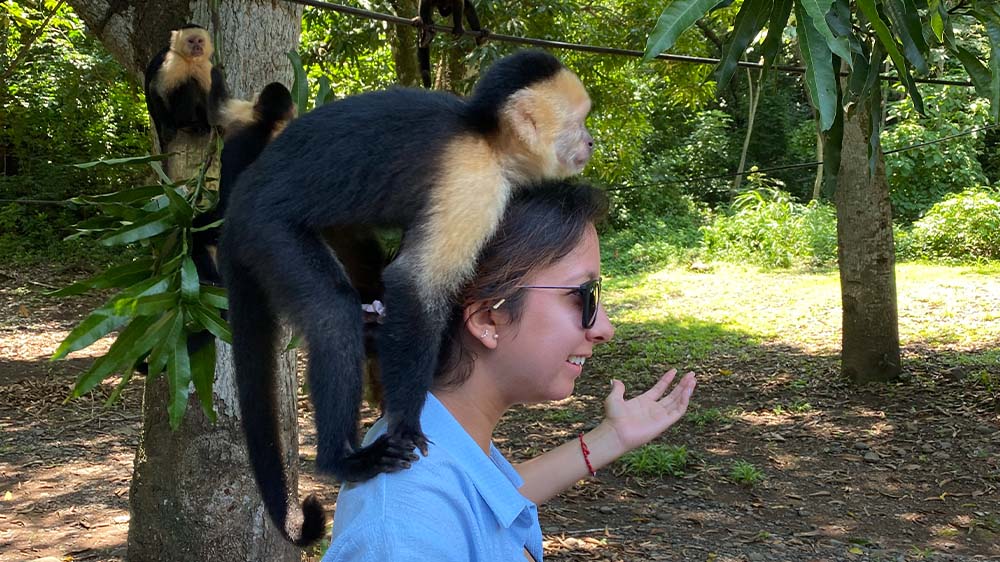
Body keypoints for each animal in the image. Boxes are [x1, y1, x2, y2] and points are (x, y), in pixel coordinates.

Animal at [142, 24, 228, 153]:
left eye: (200, 41)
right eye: (190, 41)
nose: (197, 47)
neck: (189, 61)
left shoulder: (204, 64)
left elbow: (210, 93)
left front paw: (217, 124)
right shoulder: (173, 60)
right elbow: (156, 88)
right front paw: (168, 127)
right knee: (190, 85)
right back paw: (185, 124)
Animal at [219, 50, 592, 544]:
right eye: (579, 122)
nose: (592, 142)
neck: (486, 136)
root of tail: (236, 206)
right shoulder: (473, 180)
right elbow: (415, 283)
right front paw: (406, 422)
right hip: (266, 229)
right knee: (332, 312)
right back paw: (341, 459)